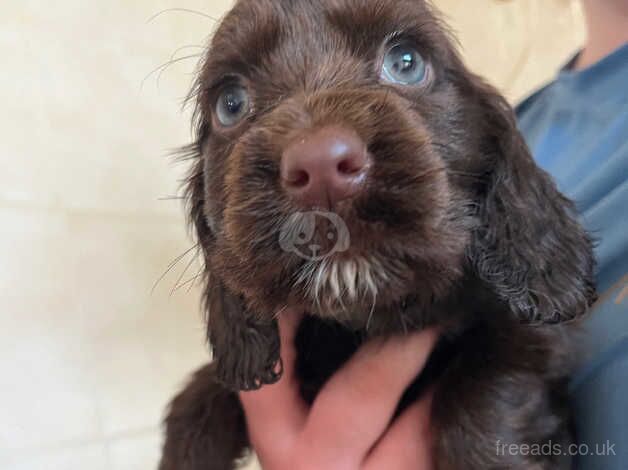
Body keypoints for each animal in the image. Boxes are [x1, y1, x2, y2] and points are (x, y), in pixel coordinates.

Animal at [159, 1, 596, 468]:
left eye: (406, 62)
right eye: (231, 103)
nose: (320, 167)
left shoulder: (528, 335)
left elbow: (489, 385)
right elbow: (205, 393)